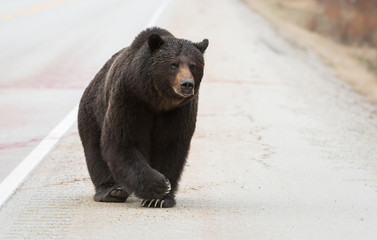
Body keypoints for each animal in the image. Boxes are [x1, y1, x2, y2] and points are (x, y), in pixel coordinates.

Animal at [76, 27, 206, 208]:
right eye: (173, 64)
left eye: (193, 65)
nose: (186, 84)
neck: (157, 100)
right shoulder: (129, 98)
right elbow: (123, 141)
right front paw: (159, 185)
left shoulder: (178, 111)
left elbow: (170, 145)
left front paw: (160, 198)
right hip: (92, 113)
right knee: (95, 150)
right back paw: (111, 191)